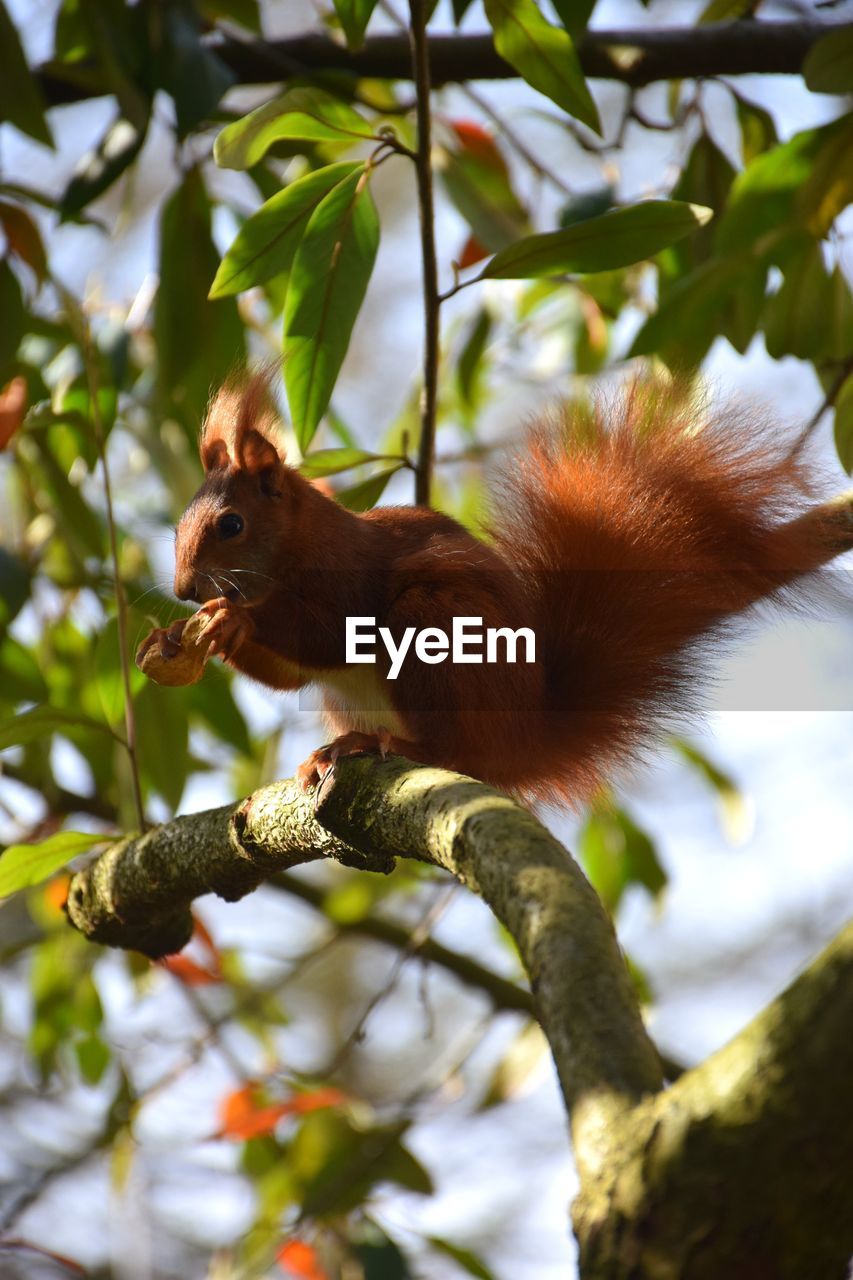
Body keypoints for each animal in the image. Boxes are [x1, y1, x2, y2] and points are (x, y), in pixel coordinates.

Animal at [136, 373, 840, 803]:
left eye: (231, 524)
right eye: (181, 520)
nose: (183, 589)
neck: (294, 550)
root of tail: (524, 738)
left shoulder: (347, 576)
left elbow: (324, 632)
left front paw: (235, 620)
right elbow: (289, 674)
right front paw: (186, 635)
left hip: (433, 629)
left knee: (454, 750)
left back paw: (384, 743)